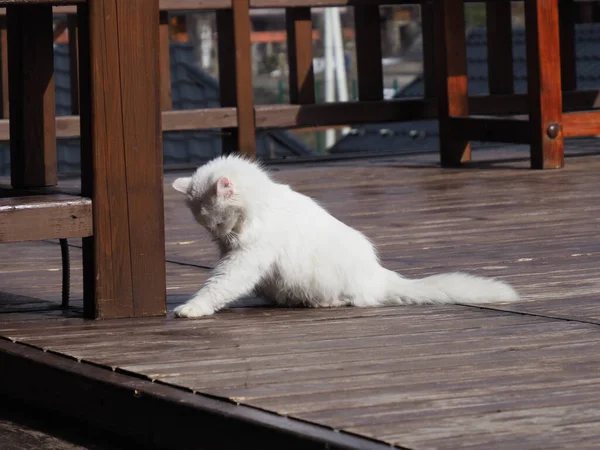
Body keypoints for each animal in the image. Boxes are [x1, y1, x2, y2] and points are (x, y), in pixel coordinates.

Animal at [171, 156, 516, 318]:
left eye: (217, 220)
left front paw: (191, 309)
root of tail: (380, 275)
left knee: (353, 299)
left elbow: (217, 287)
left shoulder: (244, 260)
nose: (216, 234)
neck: (258, 207)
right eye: (205, 225)